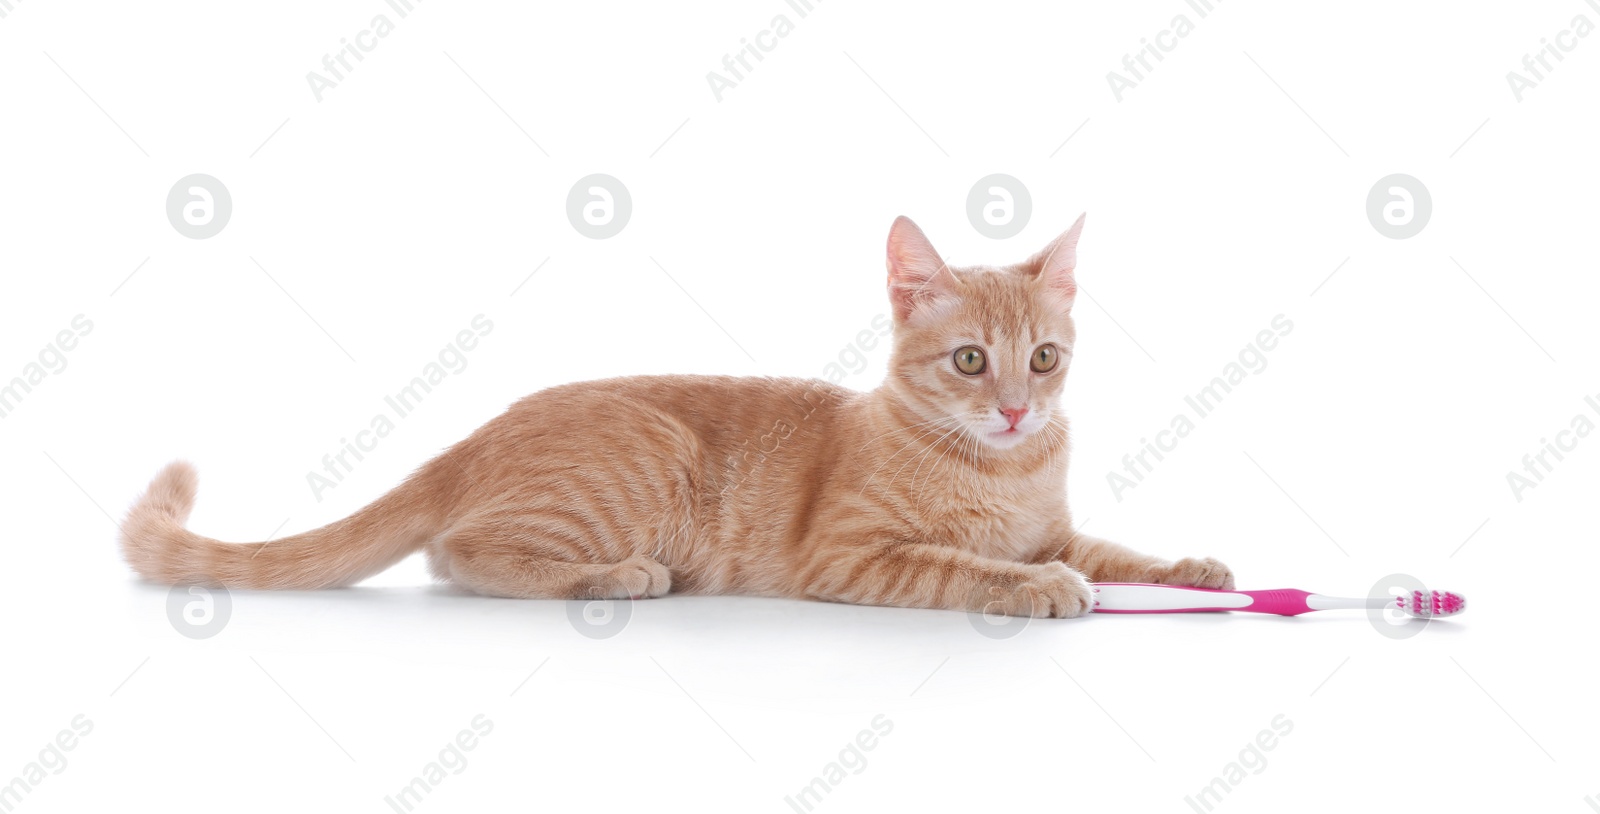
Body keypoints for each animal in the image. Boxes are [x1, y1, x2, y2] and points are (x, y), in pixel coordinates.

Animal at [118, 215, 1228, 614]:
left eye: (1042, 359)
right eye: (968, 361)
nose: (1012, 410)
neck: (1000, 471)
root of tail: (479, 434)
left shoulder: (1060, 524)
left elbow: (1113, 549)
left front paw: (1193, 566)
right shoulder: (851, 555)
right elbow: (967, 566)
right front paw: (1034, 587)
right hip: (643, 462)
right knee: (460, 556)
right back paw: (620, 575)